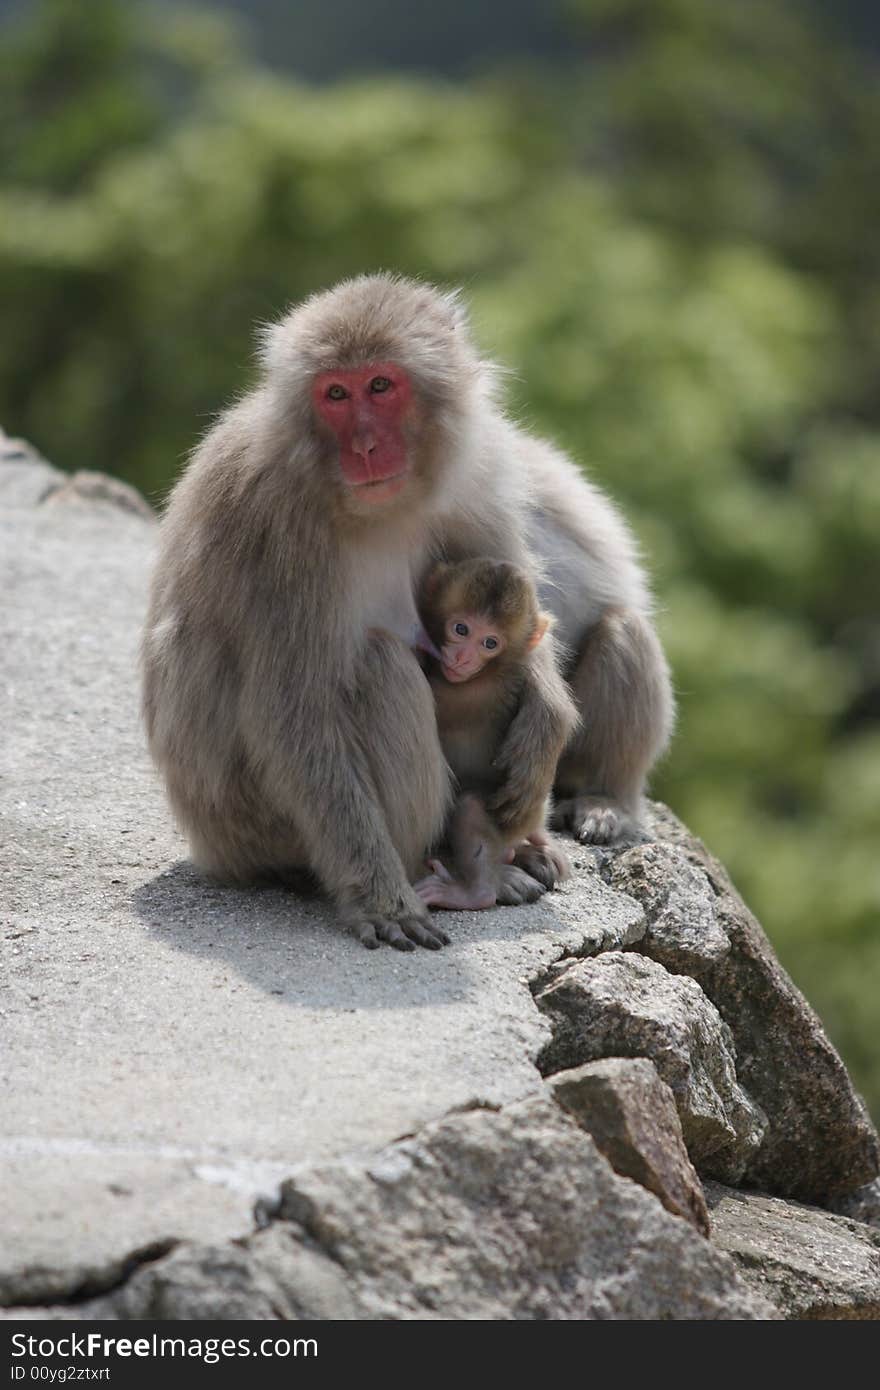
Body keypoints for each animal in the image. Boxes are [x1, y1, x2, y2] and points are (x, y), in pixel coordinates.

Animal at [414, 556, 567, 911]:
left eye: (490, 643)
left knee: (472, 807)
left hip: (510, 818)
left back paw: (475, 892)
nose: (462, 657)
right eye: (461, 629)